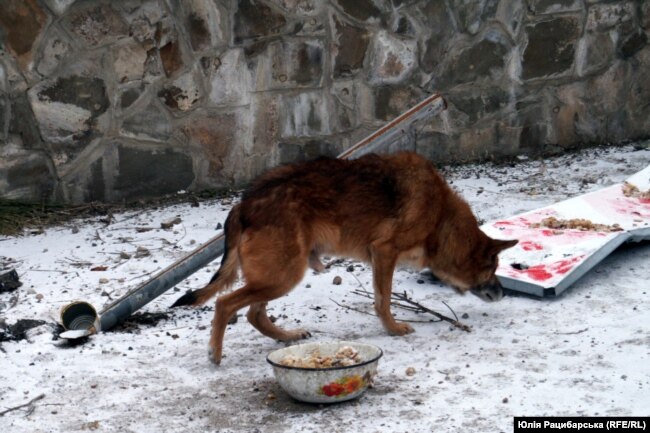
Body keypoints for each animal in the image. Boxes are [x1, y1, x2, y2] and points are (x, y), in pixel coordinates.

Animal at [172, 150, 516, 362]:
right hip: (283, 276)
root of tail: (243, 205)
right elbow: (384, 300)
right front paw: (393, 329)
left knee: (254, 314)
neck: (441, 216)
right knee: (224, 303)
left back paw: (286, 336)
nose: (503, 293)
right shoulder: (384, 252)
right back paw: (215, 354)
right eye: (493, 269)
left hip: (278, 275)